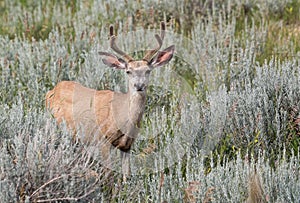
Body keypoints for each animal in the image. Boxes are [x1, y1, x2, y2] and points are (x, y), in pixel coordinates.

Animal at [45, 22, 175, 181]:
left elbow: (126, 175)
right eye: (128, 71)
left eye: (148, 70)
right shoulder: (103, 139)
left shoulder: (127, 145)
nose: (139, 86)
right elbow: (108, 173)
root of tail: (52, 90)